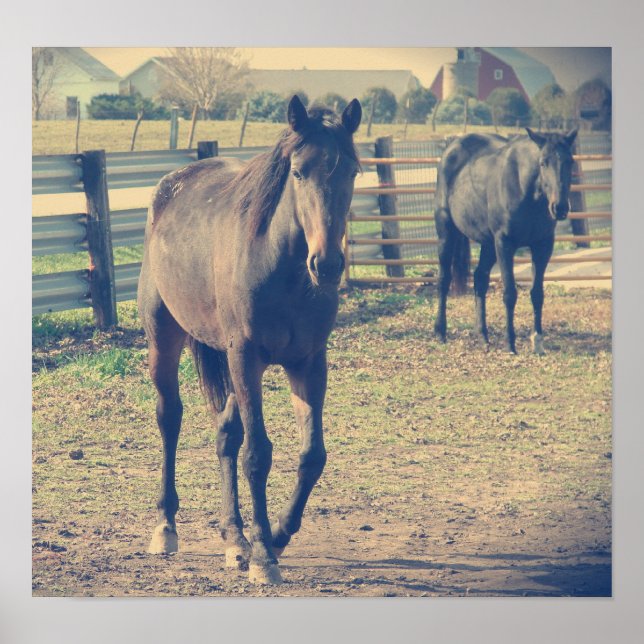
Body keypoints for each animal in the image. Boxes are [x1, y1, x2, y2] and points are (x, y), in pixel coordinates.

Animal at [137, 95, 362, 585]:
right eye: (298, 172)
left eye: (353, 171)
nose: (327, 264)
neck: (285, 271)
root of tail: (170, 187)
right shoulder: (246, 356)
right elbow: (258, 453)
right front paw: (263, 556)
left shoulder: (308, 362)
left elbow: (311, 455)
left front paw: (275, 536)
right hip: (165, 338)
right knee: (170, 417)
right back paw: (166, 528)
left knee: (226, 433)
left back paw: (233, 539)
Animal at [433, 127, 578, 354]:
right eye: (543, 162)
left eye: (570, 161)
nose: (560, 207)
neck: (524, 189)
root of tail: (452, 147)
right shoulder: (505, 243)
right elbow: (510, 292)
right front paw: (510, 342)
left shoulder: (543, 246)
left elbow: (537, 294)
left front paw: (538, 341)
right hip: (447, 232)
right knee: (443, 279)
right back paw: (440, 331)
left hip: (488, 245)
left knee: (480, 279)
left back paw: (482, 335)